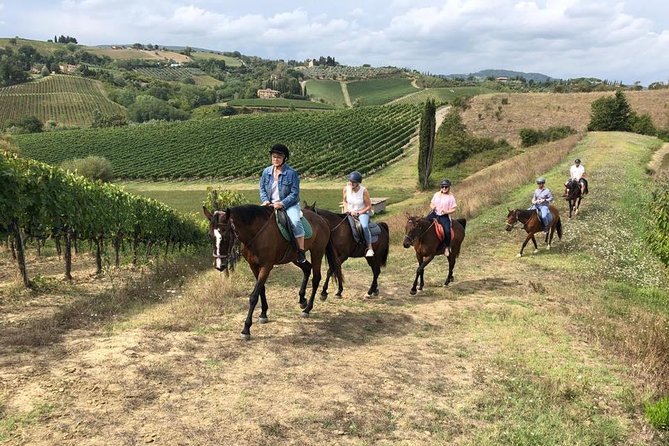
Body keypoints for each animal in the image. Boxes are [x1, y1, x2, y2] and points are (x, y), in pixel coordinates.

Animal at [201, 204, 342, 340]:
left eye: (225, 236)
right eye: (210, 236)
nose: (219, 265)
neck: (257, 233)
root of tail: (322, 220)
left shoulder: (266, 266)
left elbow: (253, 296)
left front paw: (246, 329)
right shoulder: (253, 266)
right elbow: (261, 289)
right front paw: (263, 314)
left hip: (317, 252)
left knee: (316, 278)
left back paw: (307, 309)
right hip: (295, 257)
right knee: (307, 269)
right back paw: (302, 300)